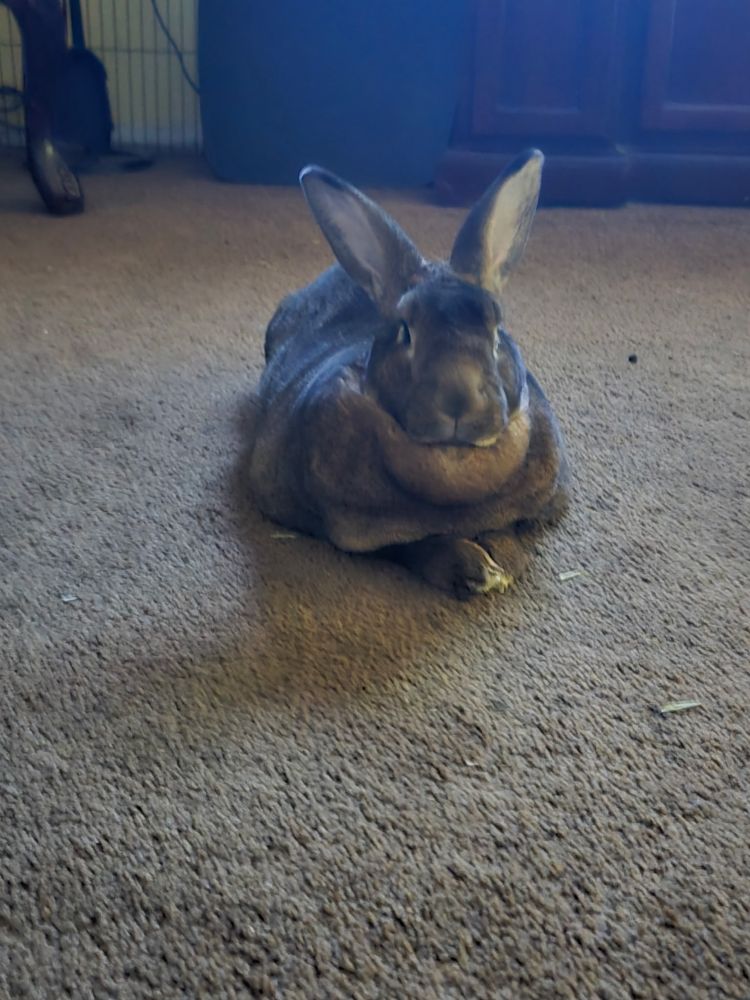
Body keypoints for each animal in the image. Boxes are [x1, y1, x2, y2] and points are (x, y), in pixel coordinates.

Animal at [248, 149, 570, 599]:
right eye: (405, 331)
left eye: (496, 330)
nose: (459, 399)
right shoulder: (353, 529)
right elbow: (411, 545)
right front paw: (476, 569)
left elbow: (508, 528)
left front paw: (502, 562)